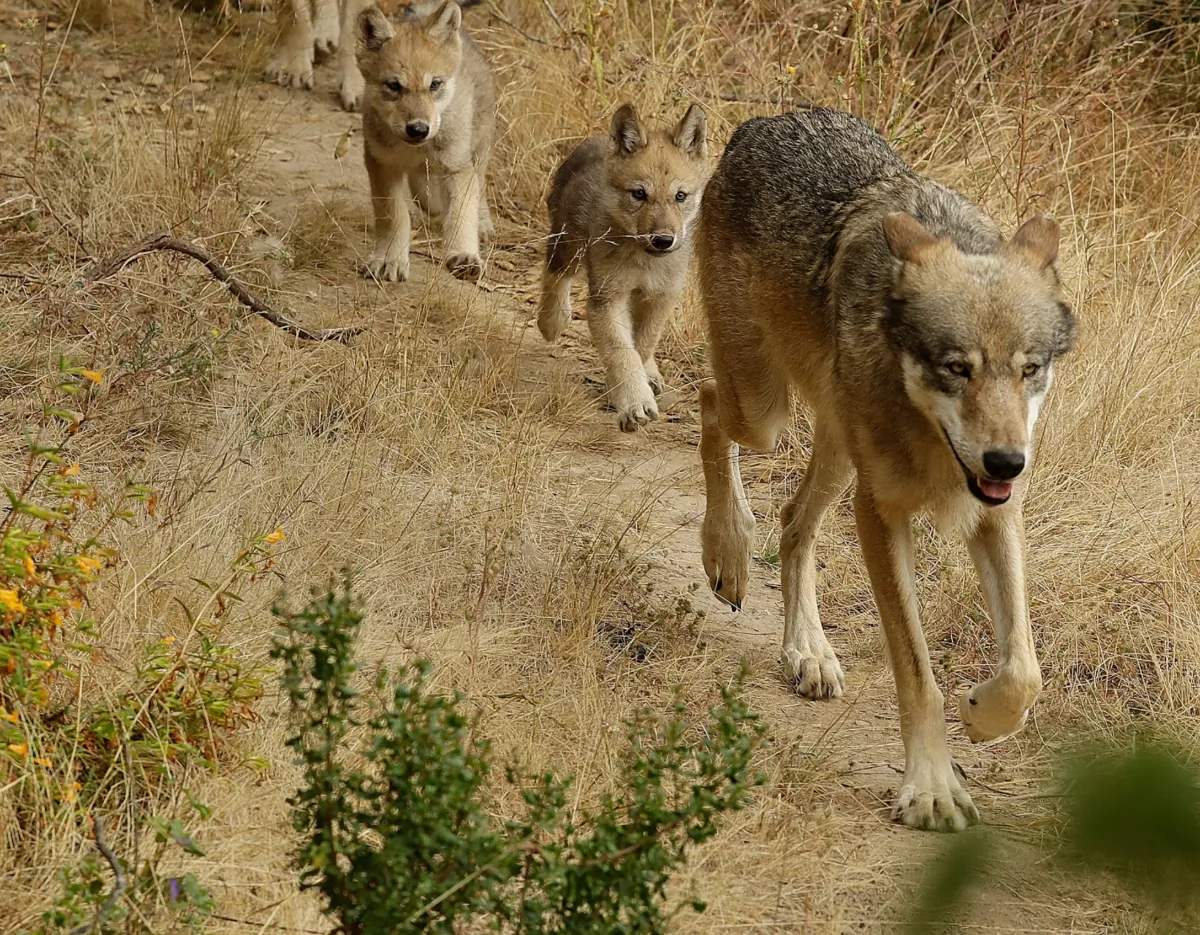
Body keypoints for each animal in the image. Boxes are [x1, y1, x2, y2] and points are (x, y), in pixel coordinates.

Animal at [353, 0, 495, 283]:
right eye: (394, 85)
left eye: (435, 84)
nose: (418, 129)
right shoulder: (382, 165)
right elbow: (394, 215)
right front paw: (390, 259)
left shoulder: (457, 167)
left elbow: (461, 213)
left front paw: (464, 255)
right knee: (427, 195)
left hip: (478, 148)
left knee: (480, 184)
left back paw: (483, 223)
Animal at [538, 102, 708, 432]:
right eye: (639, 194)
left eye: (680, 196)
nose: (663, 240)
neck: (645, 263)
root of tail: (594, 140)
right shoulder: (607, 298)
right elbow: (622, 352)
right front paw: (634, 402)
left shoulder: (661, 297)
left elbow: (641, 345)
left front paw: (629, 389)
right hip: (568, 247)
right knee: (554, 276)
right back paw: (552, 321)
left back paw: (652, 375)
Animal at [696, 107, 1077, 831]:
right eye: (957, 367)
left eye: (1029, 369)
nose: (1007, 460)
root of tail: (765, 120)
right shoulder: (880, 513)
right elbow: (919, 674)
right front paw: (932, 789)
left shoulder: (996, 512)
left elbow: (1025, 671)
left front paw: (983, 717)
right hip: (765, 412)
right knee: (708, 408)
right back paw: (726, 552)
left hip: (836, 451)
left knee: (792, 520)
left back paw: (807, 651)